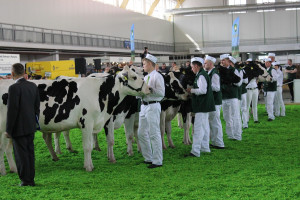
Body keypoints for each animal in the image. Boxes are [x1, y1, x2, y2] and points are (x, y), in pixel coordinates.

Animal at [0, 66, 150, 172]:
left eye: (142, 74)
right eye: (134, 76)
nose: (149, 89)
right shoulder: (87, 123)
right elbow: (87, 147)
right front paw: (89, 167)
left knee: (9, 148)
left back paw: (14, 168)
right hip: (3, 128)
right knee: (3, 148)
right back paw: (5, 171)